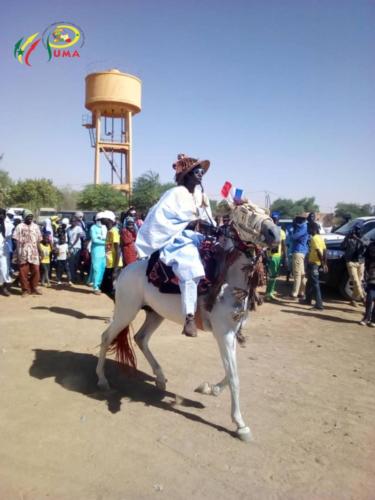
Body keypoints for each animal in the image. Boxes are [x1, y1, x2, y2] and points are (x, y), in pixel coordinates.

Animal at [95, 201, 280, 440]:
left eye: (266, 212)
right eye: (245, 212)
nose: (275, 233)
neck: (229, 283)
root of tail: (125, 270)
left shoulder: (231, 332)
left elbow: (231, 373)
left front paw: (210, 389)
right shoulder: (224, 333)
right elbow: (234, 377)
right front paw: (241, 425)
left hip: (155, 313)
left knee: (141, 338)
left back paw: (160, 379)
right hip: (126, 310)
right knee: (106, 336)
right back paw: (102, 380)